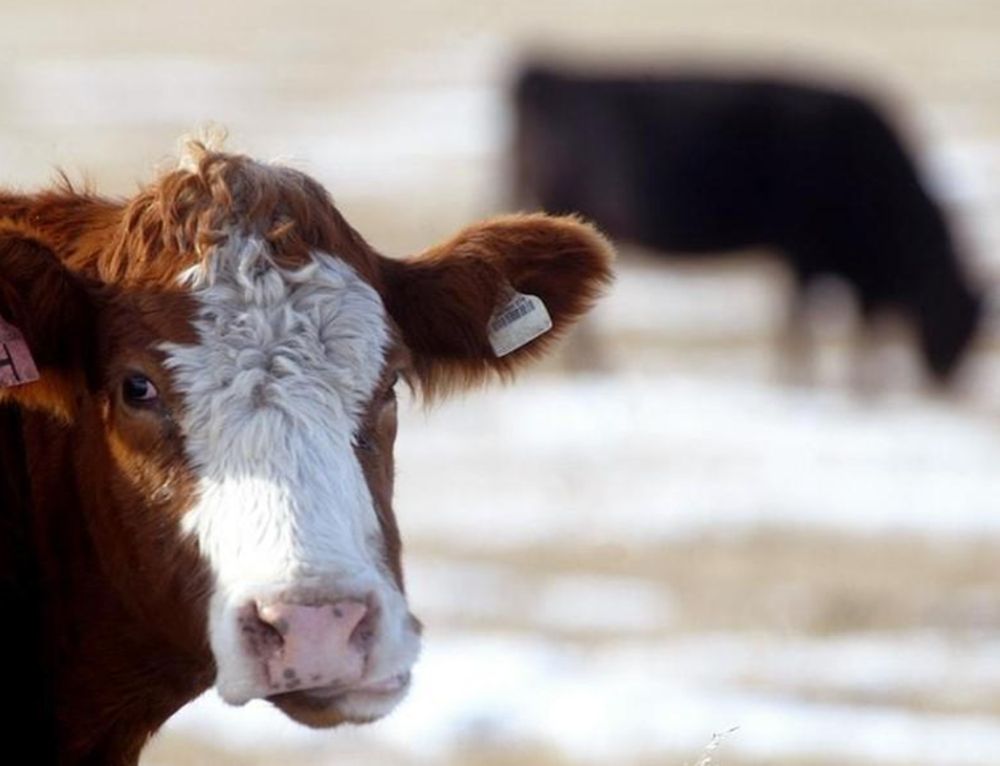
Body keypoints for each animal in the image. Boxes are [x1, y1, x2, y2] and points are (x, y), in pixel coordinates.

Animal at [512, 62, 983, 385]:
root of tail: (543, 71)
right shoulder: (803, 253)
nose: (947, 381)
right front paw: (800, 382)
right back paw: (596, 368)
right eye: (958, 313)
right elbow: (798, 323)